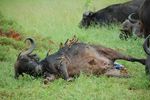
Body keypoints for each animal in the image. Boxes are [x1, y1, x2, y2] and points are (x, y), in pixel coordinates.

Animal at [14, 36, 146, 81]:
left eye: (26, 59)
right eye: (23, 70)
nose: (37, 70)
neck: (45, 66)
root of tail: (110, 64)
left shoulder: (61, 62)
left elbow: (65, 74)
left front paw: (69, 79)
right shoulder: (52, 75)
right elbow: (49, 79)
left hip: (111, 51)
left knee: (131, 58)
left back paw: (145, 62)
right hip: (110, 73)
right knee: (128, 75)